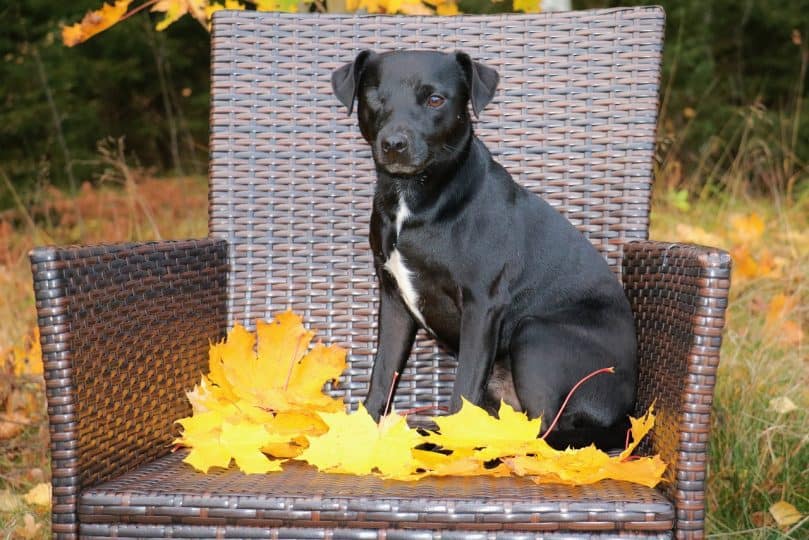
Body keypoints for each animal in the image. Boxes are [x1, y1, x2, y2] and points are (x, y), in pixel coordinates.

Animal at [332, 49, 636, 448]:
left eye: (435, 99)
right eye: (374, 95)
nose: (394, 144)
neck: (414, 199)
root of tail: (626, 413)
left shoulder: (482, 306)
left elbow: (462, 389)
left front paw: (451, 443)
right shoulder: (395, 300)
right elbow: (382, 375)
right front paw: (363, 434)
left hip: (535, 334)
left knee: (540, 432)